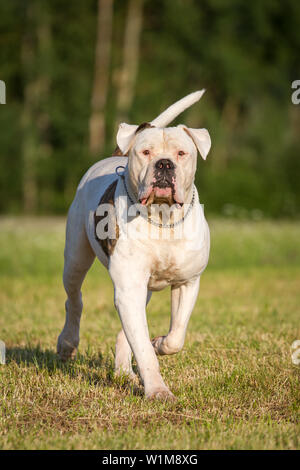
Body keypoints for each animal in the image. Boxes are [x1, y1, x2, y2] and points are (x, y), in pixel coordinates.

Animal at [56, 92, 211, 400]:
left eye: (181, 153)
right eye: (146, 152)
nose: (164, 164)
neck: (163, 217)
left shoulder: (187, 282)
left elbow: (175, 336)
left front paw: (158, 343)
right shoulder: (128, 288)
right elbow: (143, 348)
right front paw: (157, 391)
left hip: (144, 289)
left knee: (125, 330)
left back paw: (124, 372)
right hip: (76, 259)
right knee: (74, 299)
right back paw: (67, 344)